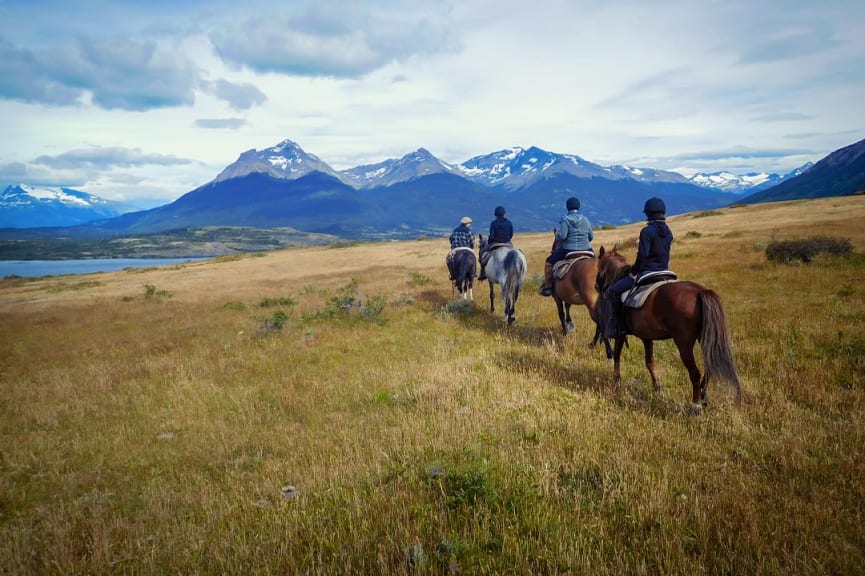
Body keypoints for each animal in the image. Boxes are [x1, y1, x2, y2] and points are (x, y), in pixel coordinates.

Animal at [592, 245, 744, 416]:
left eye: (599, 265)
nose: (596, 286)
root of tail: (699, 291)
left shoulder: (620, 334)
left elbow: (617, 355)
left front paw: (617, 380)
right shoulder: (646, 337)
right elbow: (649, 362)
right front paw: (657, 387)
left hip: (684, 344)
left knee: (695, 372)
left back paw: (695, 406)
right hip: (705, 339)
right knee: (708, 367)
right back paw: (703, 397)